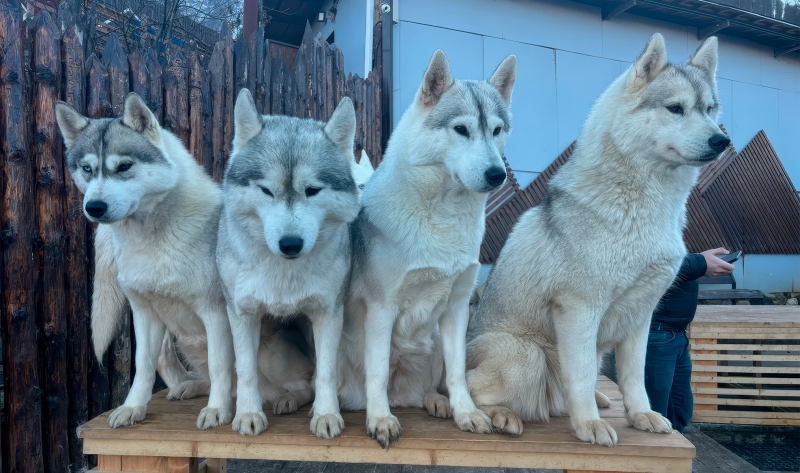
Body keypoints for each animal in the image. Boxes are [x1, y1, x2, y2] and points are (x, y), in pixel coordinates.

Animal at [56, 92, 234, 428]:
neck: (153, 240)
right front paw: (133, 408)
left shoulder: (215, 312)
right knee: (167, 360)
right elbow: (143, 367)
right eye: (87, 169)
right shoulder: (145, 313)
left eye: (124, 166)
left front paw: (218, 410)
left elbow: (221, 365)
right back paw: (189, 386)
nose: (94, 207)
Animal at [216, 89, 360, 438]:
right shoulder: (241, 314)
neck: (284, 273)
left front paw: (326, 415)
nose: (290, 244)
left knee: (307, 381)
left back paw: (291, 401)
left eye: (313, 190)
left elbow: (326, 372)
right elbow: (245, 370)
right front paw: (248, 414)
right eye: (267, 190)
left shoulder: (328, 314)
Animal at [334, 49, 516, 448]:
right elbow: (377, 373)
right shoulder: (382, 308)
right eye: (461, 130)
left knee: (434, 387)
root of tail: (405, 396)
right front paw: (380, 419)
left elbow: (459, 374)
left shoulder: (458, 307)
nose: (498, 175)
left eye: (497, 131)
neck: (442, 216)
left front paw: (467, 413)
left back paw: (442, 404)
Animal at [462, 35, 732, 444]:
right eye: (676, 108)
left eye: (710, 109)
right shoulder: (580, 309)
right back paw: (499, 415)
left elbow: (635, 377)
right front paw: (588, 424)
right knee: (466, 388)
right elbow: (584, 373)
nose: (722, 140)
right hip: (526, 354)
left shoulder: (641, 315)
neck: (641, 205)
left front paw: (641, 415)